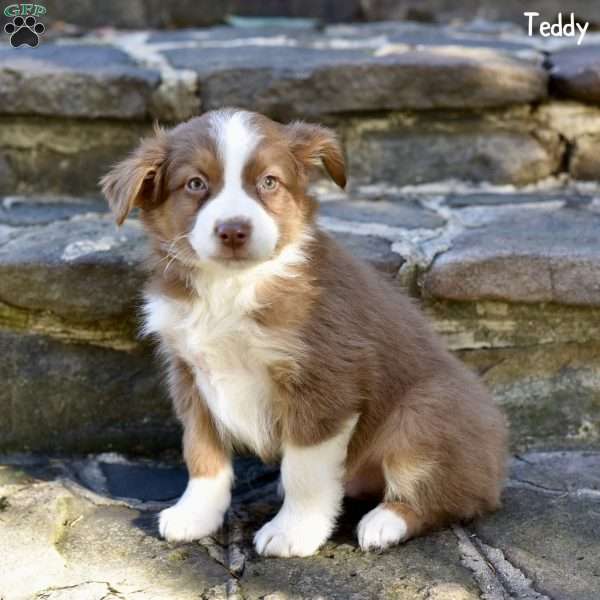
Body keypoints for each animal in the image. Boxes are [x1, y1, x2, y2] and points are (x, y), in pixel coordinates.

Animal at [102, 108, 506, 556]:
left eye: (269, 182)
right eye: (195, 183)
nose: (233, 231)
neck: (230, 286)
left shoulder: (325, 382)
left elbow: (304, 471)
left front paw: (292, 532)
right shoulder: (192, 376)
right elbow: (202, 452)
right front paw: (195, 514)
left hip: (424, 412)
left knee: (452, 496)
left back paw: (384, 522)